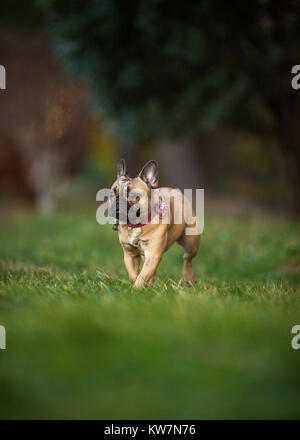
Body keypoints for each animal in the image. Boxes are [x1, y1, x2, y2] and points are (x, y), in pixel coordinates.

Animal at [106, 160, 200, 288]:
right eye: (112, 194)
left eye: (133, 196)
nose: (118, 203)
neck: (135, 225)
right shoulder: (130, 255)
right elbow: (134, 274)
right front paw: (137, 286)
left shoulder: (153, 254)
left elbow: (143, 275)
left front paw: (137, 288)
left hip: (191, 242)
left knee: (187, 258)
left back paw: (189, 278)